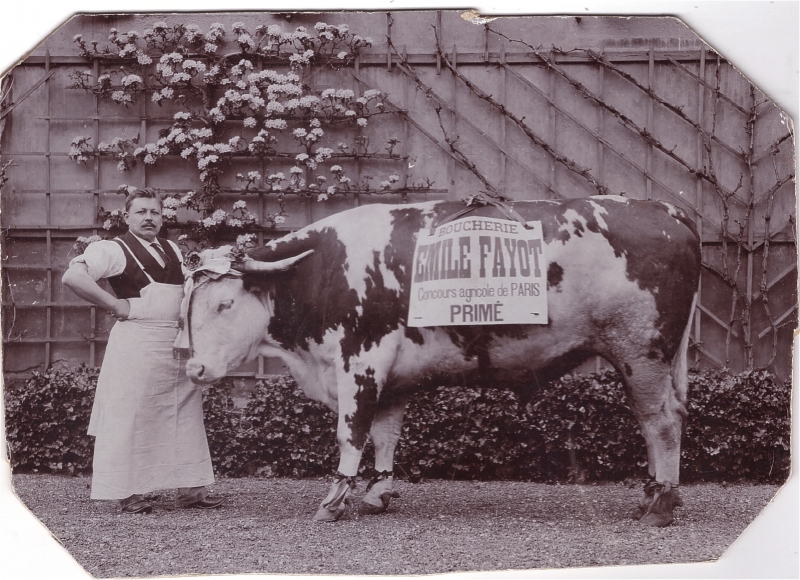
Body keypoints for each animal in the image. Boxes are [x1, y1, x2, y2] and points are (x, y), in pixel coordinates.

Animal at [181, 197, 700, 528]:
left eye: (225, 304)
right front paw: (377, 493)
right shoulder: (390, 378)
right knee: (658, 421)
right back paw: (656, 495)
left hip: (641, 353)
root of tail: (664, 209)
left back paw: (660, 505)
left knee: (661, 422)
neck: (324, 271)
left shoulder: (359, 363)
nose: (194, 370)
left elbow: (352, 434)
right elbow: (386, 435)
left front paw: (335, 500)